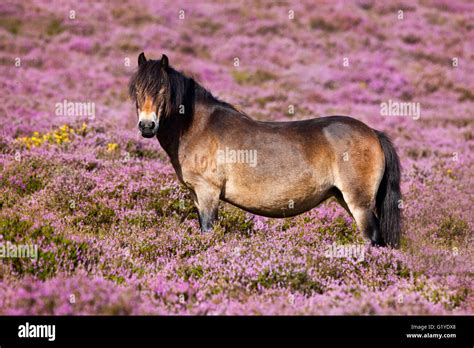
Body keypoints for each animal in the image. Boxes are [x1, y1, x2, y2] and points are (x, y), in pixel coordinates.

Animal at [128, 52, 402, 247]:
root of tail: (373, 133)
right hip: (344, 197)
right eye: (137, 90)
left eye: (162, 90)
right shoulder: (196, 194)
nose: (147, 126)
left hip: (359, 202)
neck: (197, 126)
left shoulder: (208, 193)